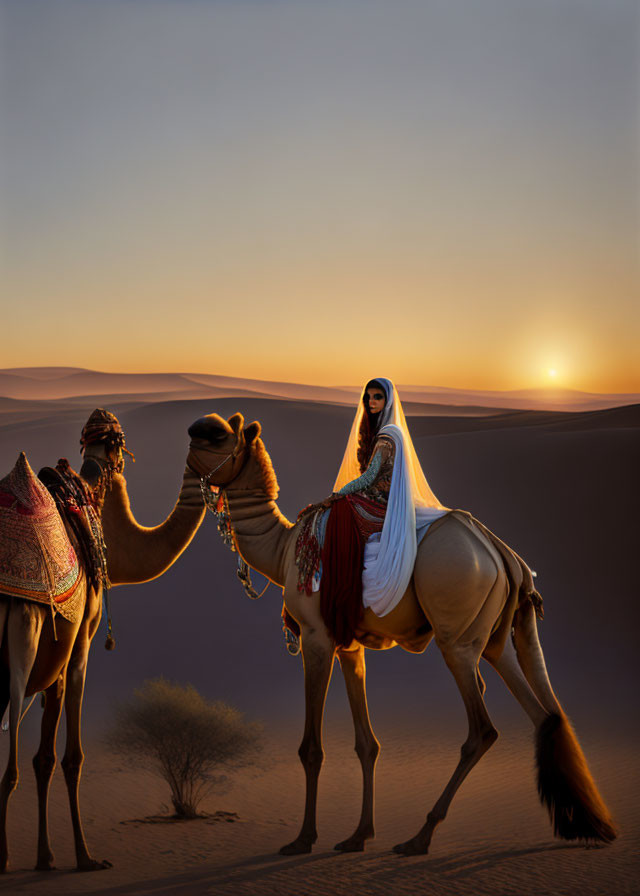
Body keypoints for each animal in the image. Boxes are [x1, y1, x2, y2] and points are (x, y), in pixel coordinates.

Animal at [0, 412, 205, 868]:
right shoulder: (79, 644)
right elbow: (68, 756)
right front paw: (82, 855)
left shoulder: (54, 661)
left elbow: (44, 757)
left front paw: (45, 856)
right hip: (20, 646)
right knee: (9, 769)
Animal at [188, 416, 616, 856]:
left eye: (216, 435)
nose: (188, 449)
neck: (284, 549)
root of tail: (502, 554)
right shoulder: (349, 645)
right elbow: (366, 743)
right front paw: (358, 835)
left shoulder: (316, 636)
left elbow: (311, 748)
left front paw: (303, 839)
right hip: (497, 638)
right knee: (544, 713)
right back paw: (582, 824)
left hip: (456, 640)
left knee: (482, 729)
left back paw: (419, 837)